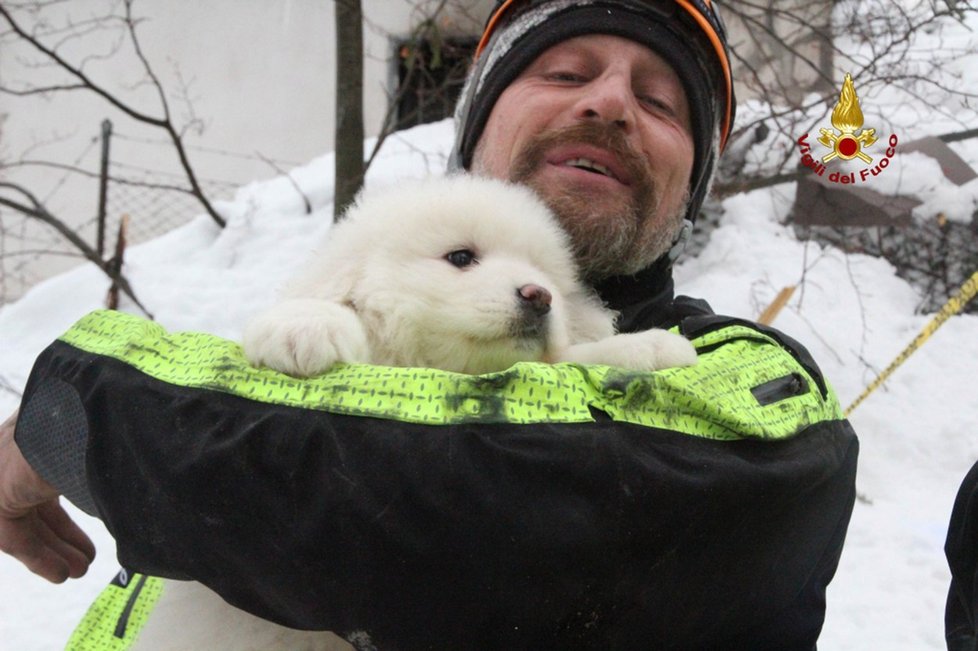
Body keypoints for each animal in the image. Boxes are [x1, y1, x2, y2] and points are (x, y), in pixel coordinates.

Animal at [132, 174, 692, 651]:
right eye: (461, 257)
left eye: (546, 276)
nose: (540, 296)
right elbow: (348, 318)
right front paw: (302, 325)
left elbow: (578, 356)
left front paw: (653, 348)